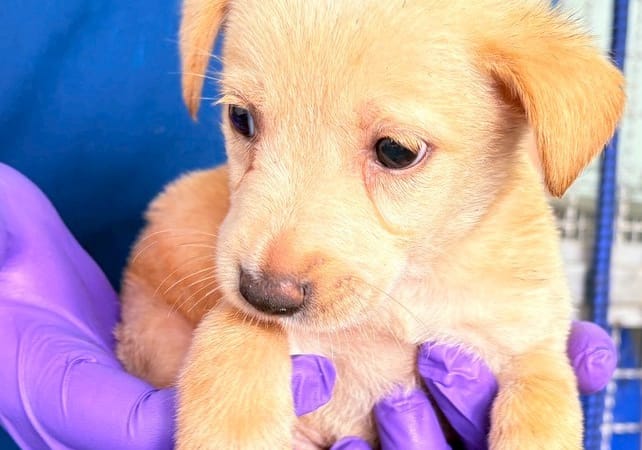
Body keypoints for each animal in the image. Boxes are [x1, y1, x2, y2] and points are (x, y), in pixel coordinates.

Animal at [115, 0, 625, 448]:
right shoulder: (246, 323)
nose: (263, 295)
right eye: (241, 118)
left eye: (397, 151)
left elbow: (540, 415)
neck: (406, 292)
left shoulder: (534, 352)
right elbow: (235, 356)